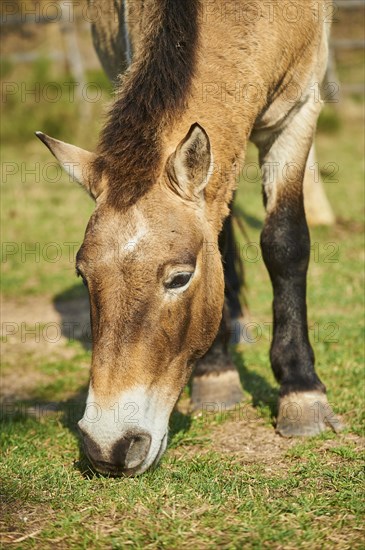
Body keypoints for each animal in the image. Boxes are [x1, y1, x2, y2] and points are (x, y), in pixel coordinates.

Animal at [35, 0, 340, 476]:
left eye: (180, 278)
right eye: (83, 275)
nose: (108, 446)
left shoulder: (299, 112)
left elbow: (285, 243)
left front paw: (301, 391)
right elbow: (221, 244)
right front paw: (216, 374)